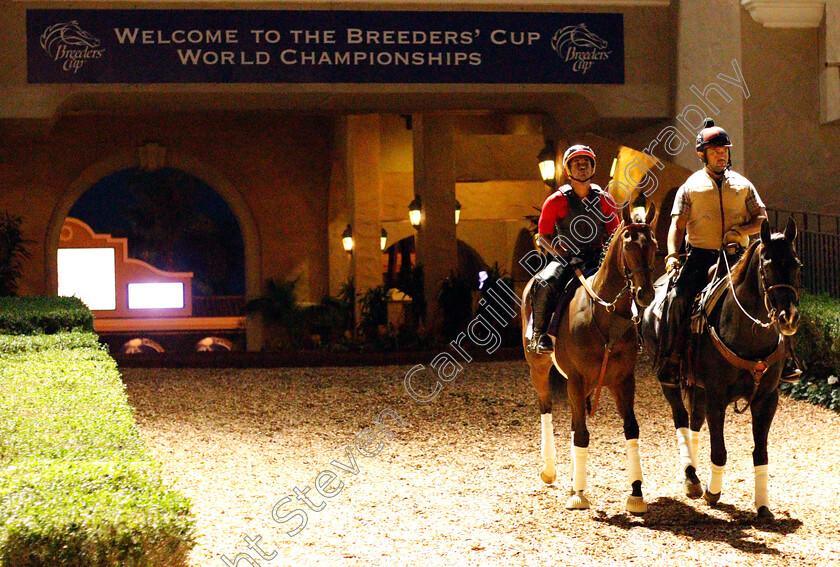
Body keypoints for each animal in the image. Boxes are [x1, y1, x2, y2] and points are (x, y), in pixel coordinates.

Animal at [520, 204, 660, 516]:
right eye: (628, 246)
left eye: (654, 245)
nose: (645, 294)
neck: (606, 314)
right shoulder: (576, 378)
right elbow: (582, 434)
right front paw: (580, 496)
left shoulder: (623, 380)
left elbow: (630, 429)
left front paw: (636, 493)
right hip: (539, 367)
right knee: (546, 409)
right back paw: (550, 471)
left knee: (574, 424)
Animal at [644, 216, 800, 520]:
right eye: (767, 266)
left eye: (797, 265)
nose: (788, 317)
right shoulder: (717, 397)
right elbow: (719, 451)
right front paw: (713, 492)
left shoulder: (767, 399)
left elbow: (760, 453)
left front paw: (763, 505)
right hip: (670, 380)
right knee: (681, 418)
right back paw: (691, 476)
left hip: (697, 385)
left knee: (694, 420)